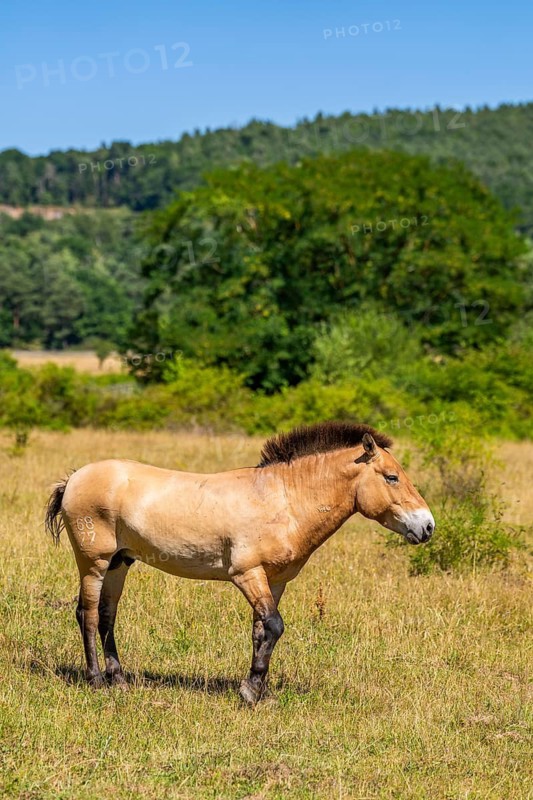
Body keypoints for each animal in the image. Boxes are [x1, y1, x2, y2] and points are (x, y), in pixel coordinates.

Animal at [45, 422, 435, 704]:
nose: (427, 526)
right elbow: (275, 625)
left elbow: (261, 630)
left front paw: (258, 689)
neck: (283, 500)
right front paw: (250, 692)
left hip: (119, 563)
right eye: (392, 477)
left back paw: (120, 680)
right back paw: (96, 680)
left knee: (107, 615)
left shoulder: (275, 581)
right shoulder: (247, 574)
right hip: (94, 562)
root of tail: (74, 478)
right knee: (88, 614)